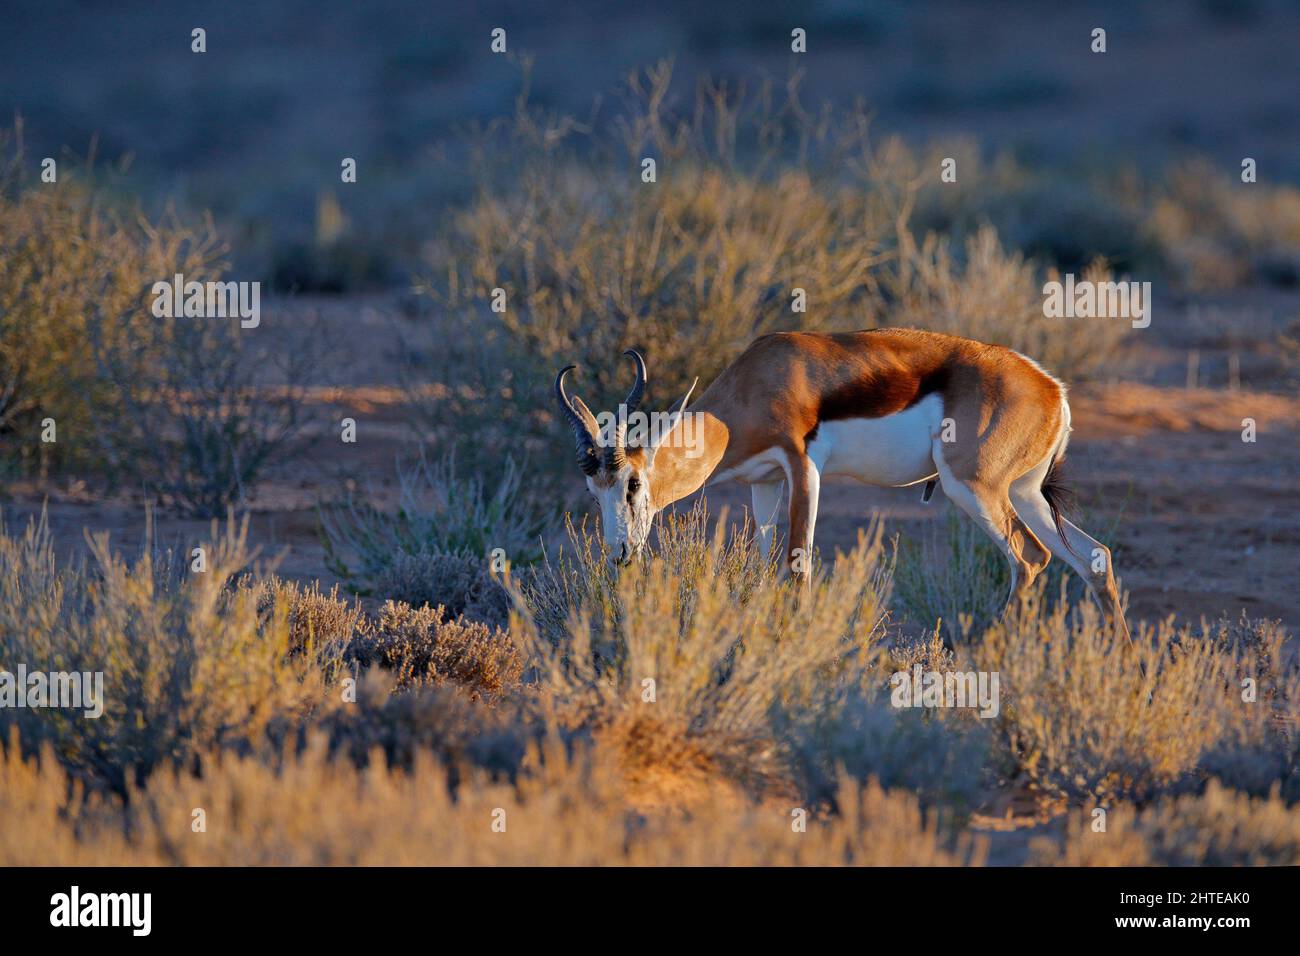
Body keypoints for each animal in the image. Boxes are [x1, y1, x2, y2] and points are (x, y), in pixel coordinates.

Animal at [555, 328, 1131, 643]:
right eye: (593, 492)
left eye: (633, 483)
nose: (620, 554)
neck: (755, 386)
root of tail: (1052, 388)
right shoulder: (763, 484)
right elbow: (762, 564)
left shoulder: (803, 468)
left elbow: (799, 567)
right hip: (1025, 494)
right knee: (1094, 556)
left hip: (973, 488)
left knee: (1029, 558)